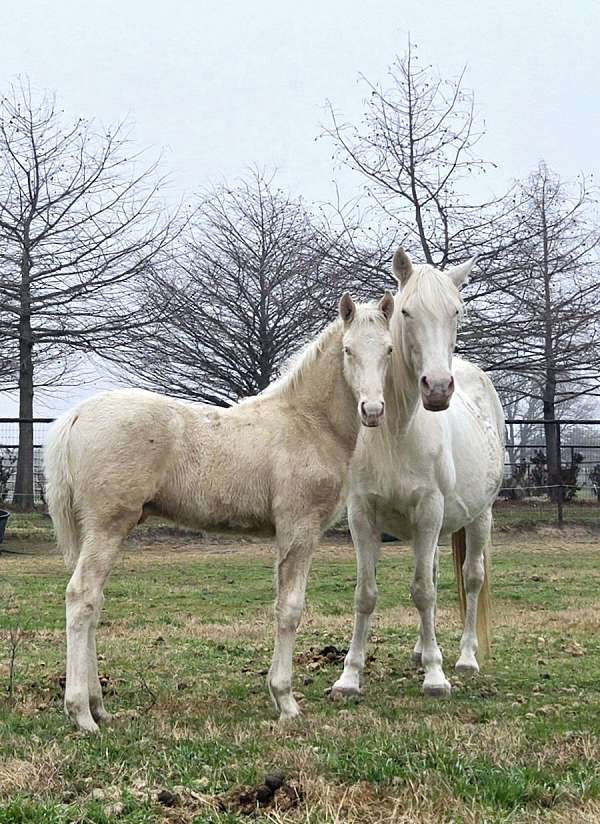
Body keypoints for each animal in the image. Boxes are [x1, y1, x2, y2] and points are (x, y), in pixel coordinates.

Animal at [45, 292, 394, 732]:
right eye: (348, 350)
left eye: (389, 350)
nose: (373, 410)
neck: (308, 422)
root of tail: (75, 416)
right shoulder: (298, 528)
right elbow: (289, 608)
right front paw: (286, 702)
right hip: (108, 526)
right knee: (81, 597)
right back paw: (81, 713)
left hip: (94, 531)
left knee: (93, 603)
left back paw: (99, 706)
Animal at [330, 248, 504, 700]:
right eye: (407, 311)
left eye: (456, 311)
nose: (438, 388)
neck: (394, 435)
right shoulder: (362, 516)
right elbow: (366, 594)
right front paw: (349, 677)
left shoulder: (428, 511)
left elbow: (423, 592)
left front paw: (436, 677)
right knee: (438, 574)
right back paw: (422, 649)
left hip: (479, 517)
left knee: (471, 579)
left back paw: (464, 657)